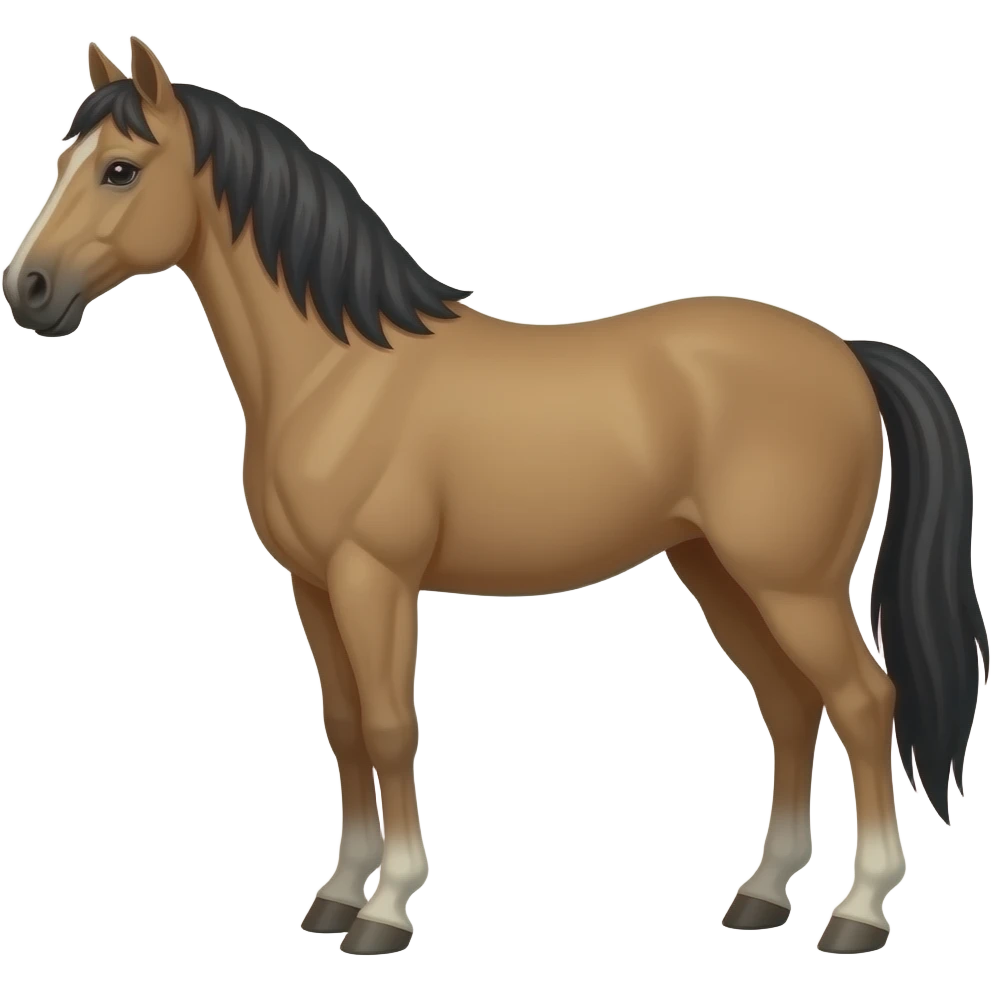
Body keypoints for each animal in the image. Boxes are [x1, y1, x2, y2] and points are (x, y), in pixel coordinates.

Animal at [3, 37, 986, 957]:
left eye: (120, 170)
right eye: (62, 163)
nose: (29, 289)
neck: (335, 372)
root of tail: (846, 353)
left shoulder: (374, 579)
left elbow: (390, 727)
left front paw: (386, 909)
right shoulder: (313, 586)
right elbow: (344, 727)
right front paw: (336, 894)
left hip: (792, 583)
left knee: (863, 702)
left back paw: (857, 912)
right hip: (718, 570)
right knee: (789, 706)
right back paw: (762, 895)